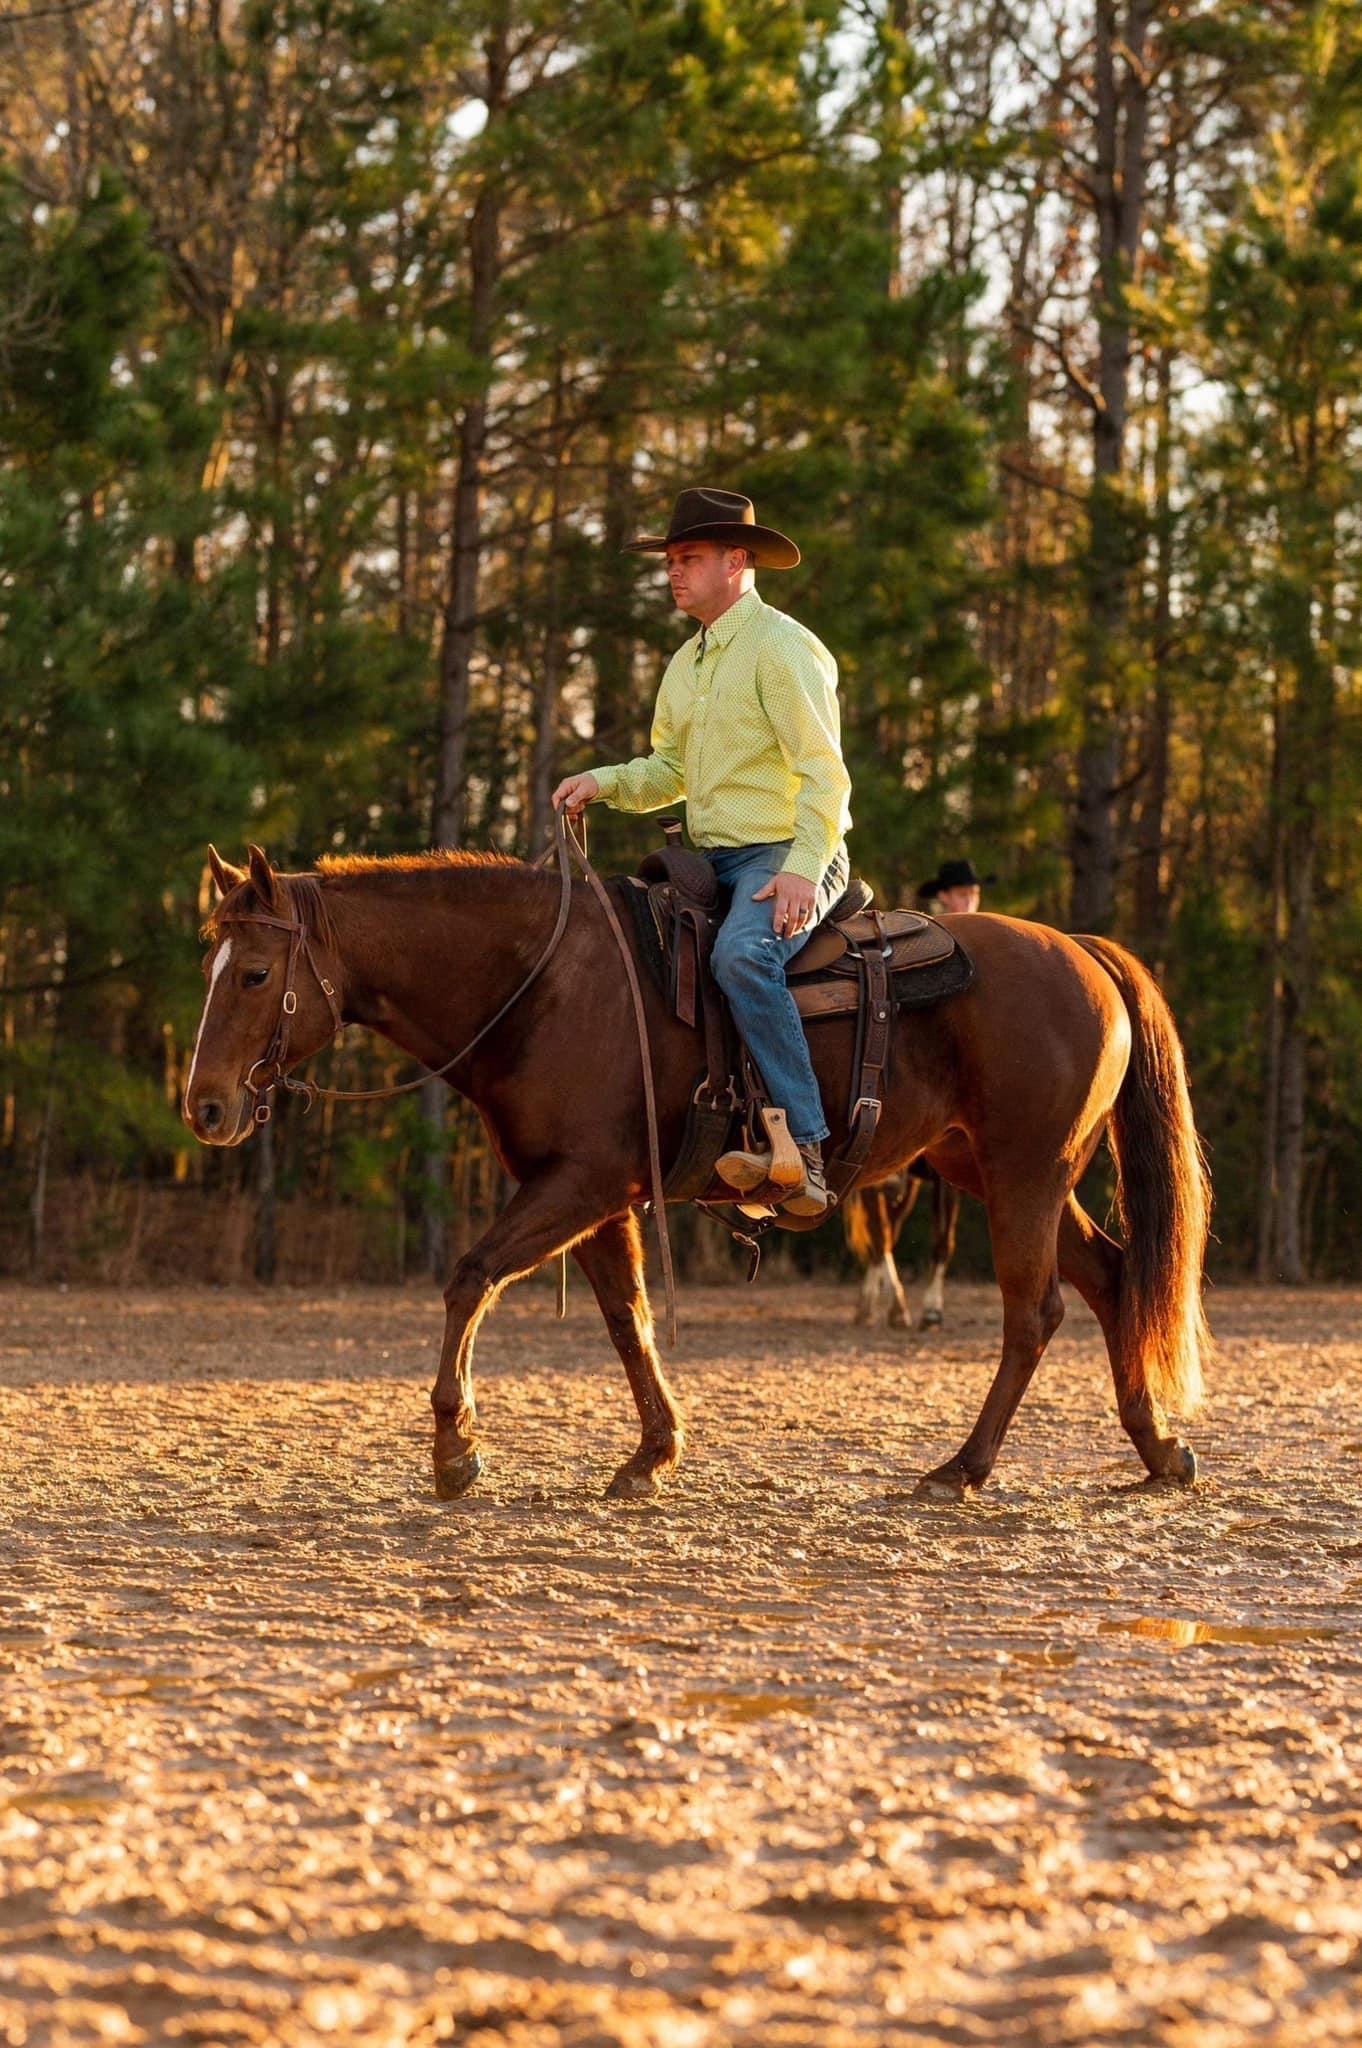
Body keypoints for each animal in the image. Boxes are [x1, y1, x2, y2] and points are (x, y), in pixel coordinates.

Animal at [845, 1168, 962, 1331]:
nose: (890, 1183)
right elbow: (880, 1237)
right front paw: (902, 1310)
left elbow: (943, 1242)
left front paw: (932, 1312)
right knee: (881, 1239)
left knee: (887, 1236)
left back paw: (866, 1307)